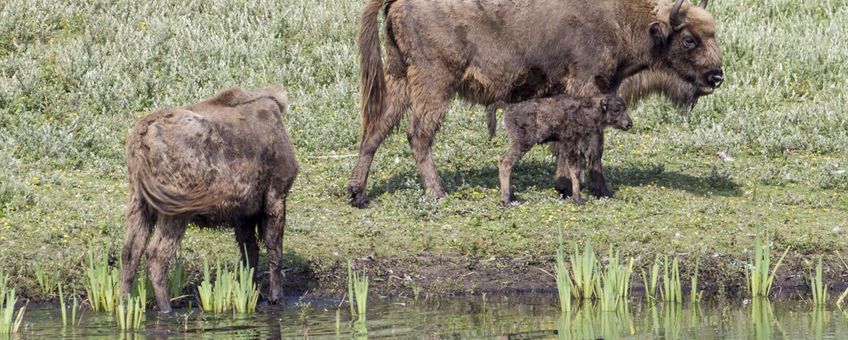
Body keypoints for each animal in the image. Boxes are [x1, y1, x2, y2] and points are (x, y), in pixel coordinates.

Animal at [119, 85, 298, 314]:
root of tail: (140, 138)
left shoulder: (243, 212)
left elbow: (250, 254)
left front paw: (251, 296)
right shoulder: (275, 195)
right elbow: (275, 251)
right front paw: (276, 298)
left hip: (140, 201)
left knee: (130, 251)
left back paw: (123, 302)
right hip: (175, 208)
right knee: (157, 255)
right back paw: (166, 308)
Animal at [496, 79, 628, 206]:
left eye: (625, 108)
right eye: (616, 110)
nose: (629, 123)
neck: (587, 111)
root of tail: (509, 108)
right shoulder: (571, 146)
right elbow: (575, 171)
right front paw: (578, 199)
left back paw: (511, 197)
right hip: (522, 142)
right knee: (506, 161)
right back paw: (506, 200)